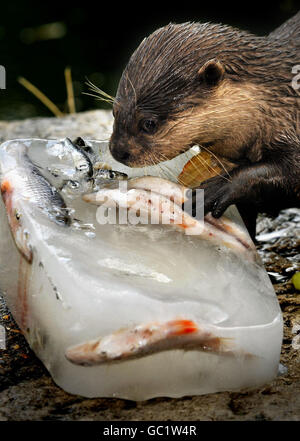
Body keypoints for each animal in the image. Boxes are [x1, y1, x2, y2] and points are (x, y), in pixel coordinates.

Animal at [109, 11, 300, 237]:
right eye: (114, 110)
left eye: (149, 123)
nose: (117, 151)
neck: (282, 99)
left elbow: (286, 170)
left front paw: (217, 188)